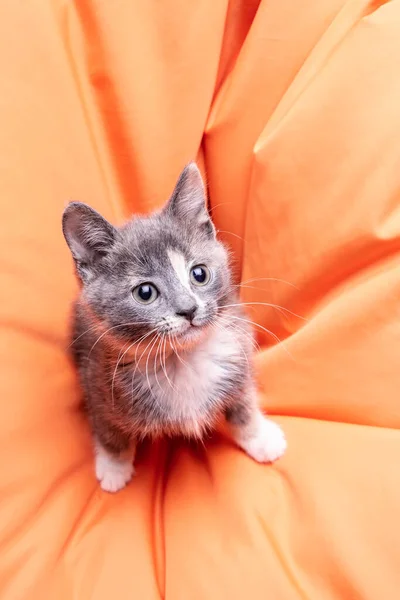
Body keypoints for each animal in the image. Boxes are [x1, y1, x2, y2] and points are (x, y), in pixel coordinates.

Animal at [62, 164, 286, 492]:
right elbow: (109, 431)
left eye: (199, 273)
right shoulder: (97, 381)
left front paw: (260, 437)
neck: (182, 359)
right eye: (145, 292)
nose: (189, 309)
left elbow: (243, 402)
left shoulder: (240, 354)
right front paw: (114, 468)